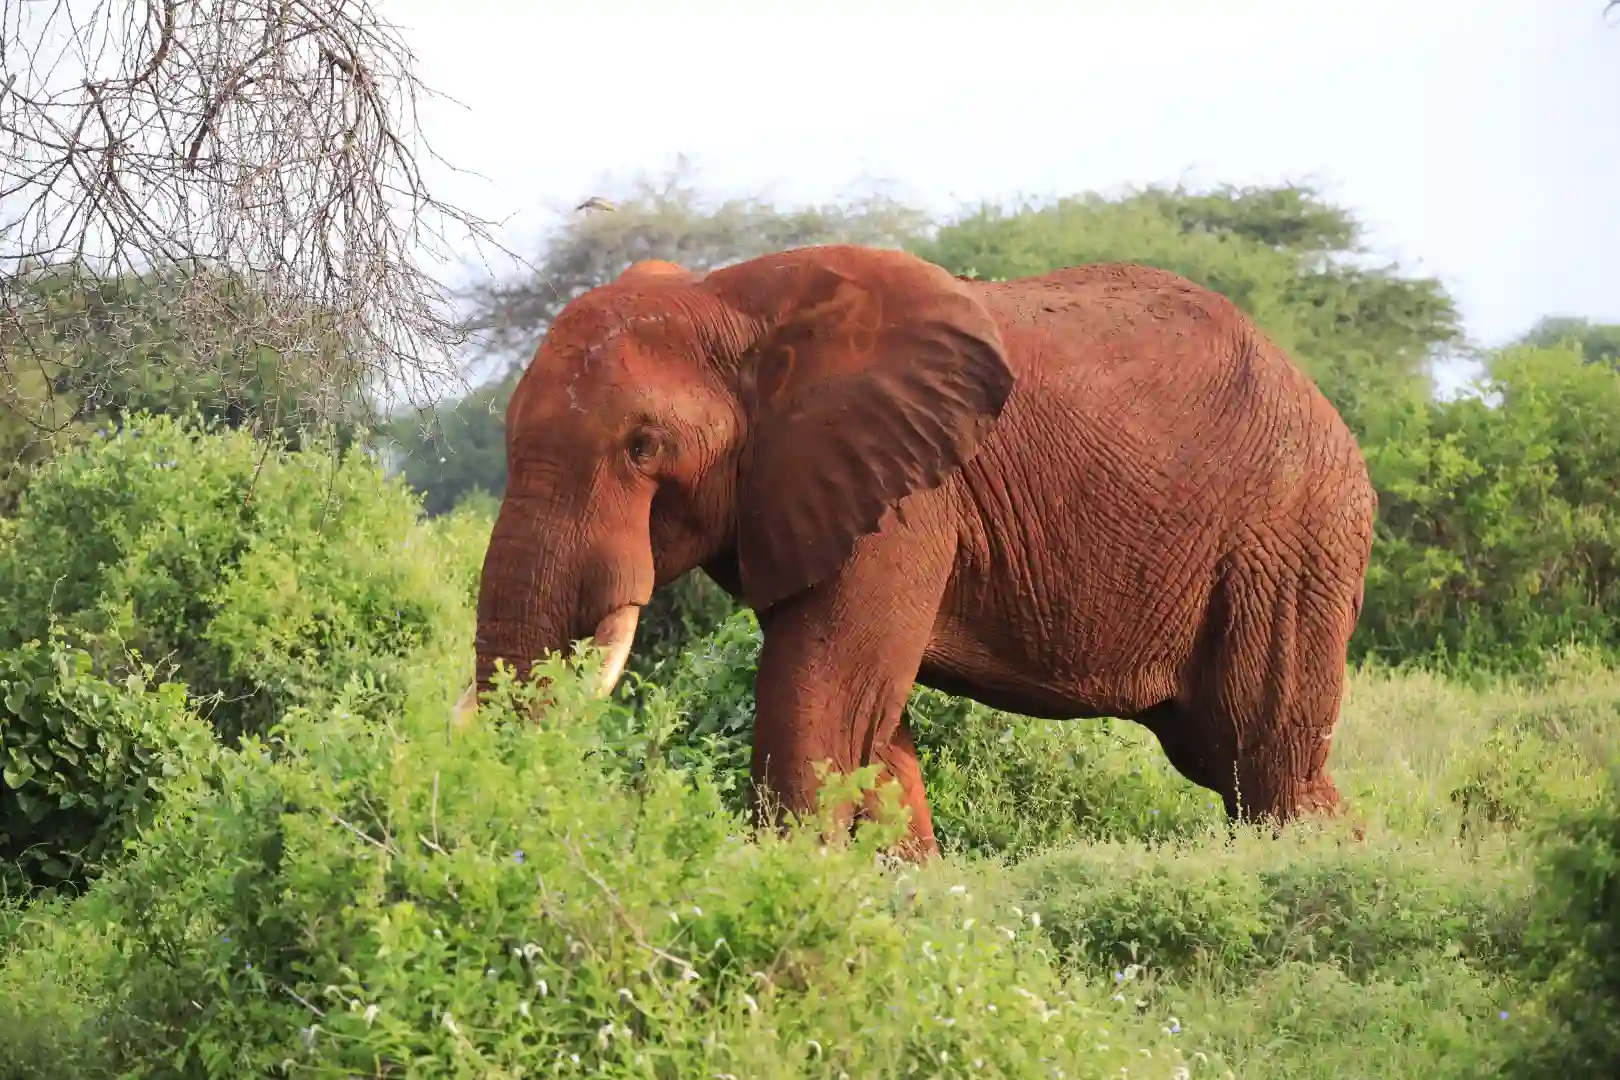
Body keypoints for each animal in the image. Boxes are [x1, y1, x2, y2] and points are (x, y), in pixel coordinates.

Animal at [466, 243, 1377, 859]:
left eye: (644, 448)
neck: (729, 302)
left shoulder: (904, 499)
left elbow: (824, 696)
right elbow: (870, 721)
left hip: (1289, 541)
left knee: (1260, 761)